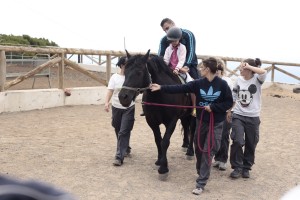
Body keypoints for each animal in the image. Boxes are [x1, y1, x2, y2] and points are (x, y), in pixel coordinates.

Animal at [118, 49, 193, 177]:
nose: (123, 97)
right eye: (125, 71)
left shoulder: (171, 121)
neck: (160, 93)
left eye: (139, 72)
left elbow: (165, 141)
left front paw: (164, 168)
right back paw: (185, 145)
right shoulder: (152, 121)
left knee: (193, 132)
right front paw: (159, 160)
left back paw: (190, 152)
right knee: (186, 126)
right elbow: (158, 140)